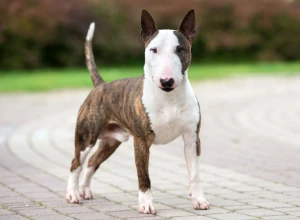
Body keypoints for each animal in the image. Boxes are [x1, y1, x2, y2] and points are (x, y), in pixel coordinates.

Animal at [66, 9, 210, 214]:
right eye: (154, 50)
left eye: (180, 49)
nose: (167, 81)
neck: (169, 98)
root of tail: (101, 85)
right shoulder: (141, 141)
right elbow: (144, 176)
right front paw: (146, 204)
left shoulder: (192, 139)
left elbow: (194, 174)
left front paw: (198, 200)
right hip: (86, 138)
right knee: (76, 164)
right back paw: (72, 194)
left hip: (110, 142)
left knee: (93, 161)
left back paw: (85, 190)